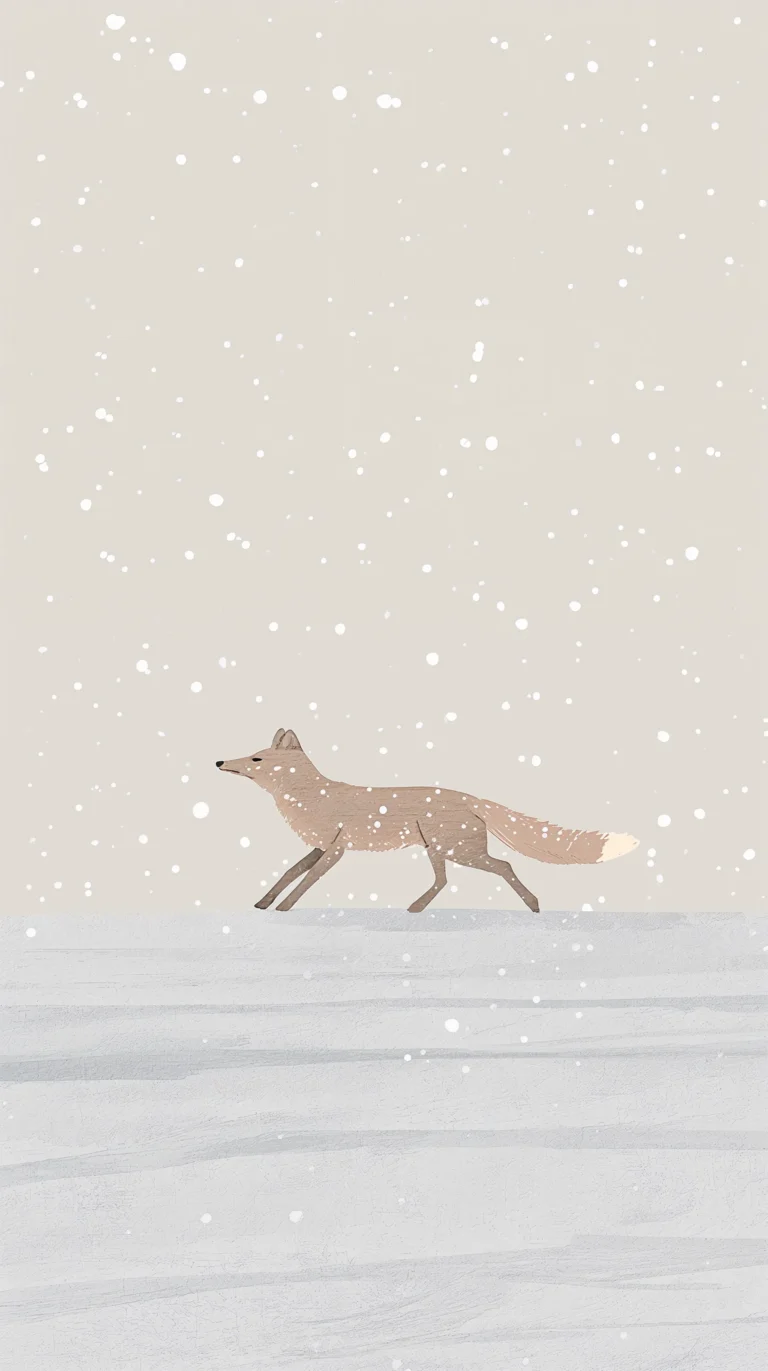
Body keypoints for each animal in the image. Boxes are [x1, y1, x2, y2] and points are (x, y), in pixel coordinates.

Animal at [216, 727, 639, 913]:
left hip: (457, 851)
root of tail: (470, 797)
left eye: (256, 758)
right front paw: (263, 904)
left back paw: (533, 905)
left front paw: (284, 908)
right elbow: (289, 873)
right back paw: (415, 908)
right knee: (444, 881)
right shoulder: (320, 847)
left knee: (503, 865)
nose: (220, 761)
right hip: (437, 850)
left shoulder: (336, 850)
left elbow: (306, 881)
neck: (310, 797)